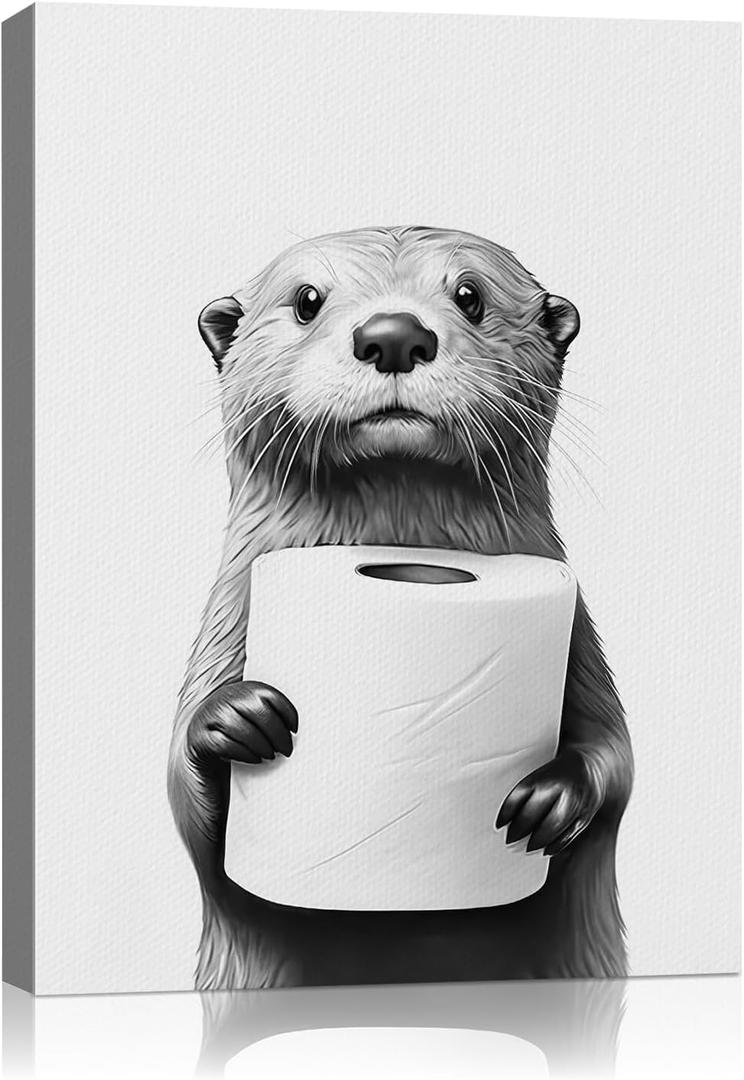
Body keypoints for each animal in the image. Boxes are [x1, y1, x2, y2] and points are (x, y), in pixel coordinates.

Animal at [168, 226, 633, 990]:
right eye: (307, 299)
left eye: (470, 295)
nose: (393, 334)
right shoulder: (224, 628)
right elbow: (188, 808)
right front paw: (235, 718)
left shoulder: (580, 645)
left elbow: (617, 760)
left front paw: (553, 798)